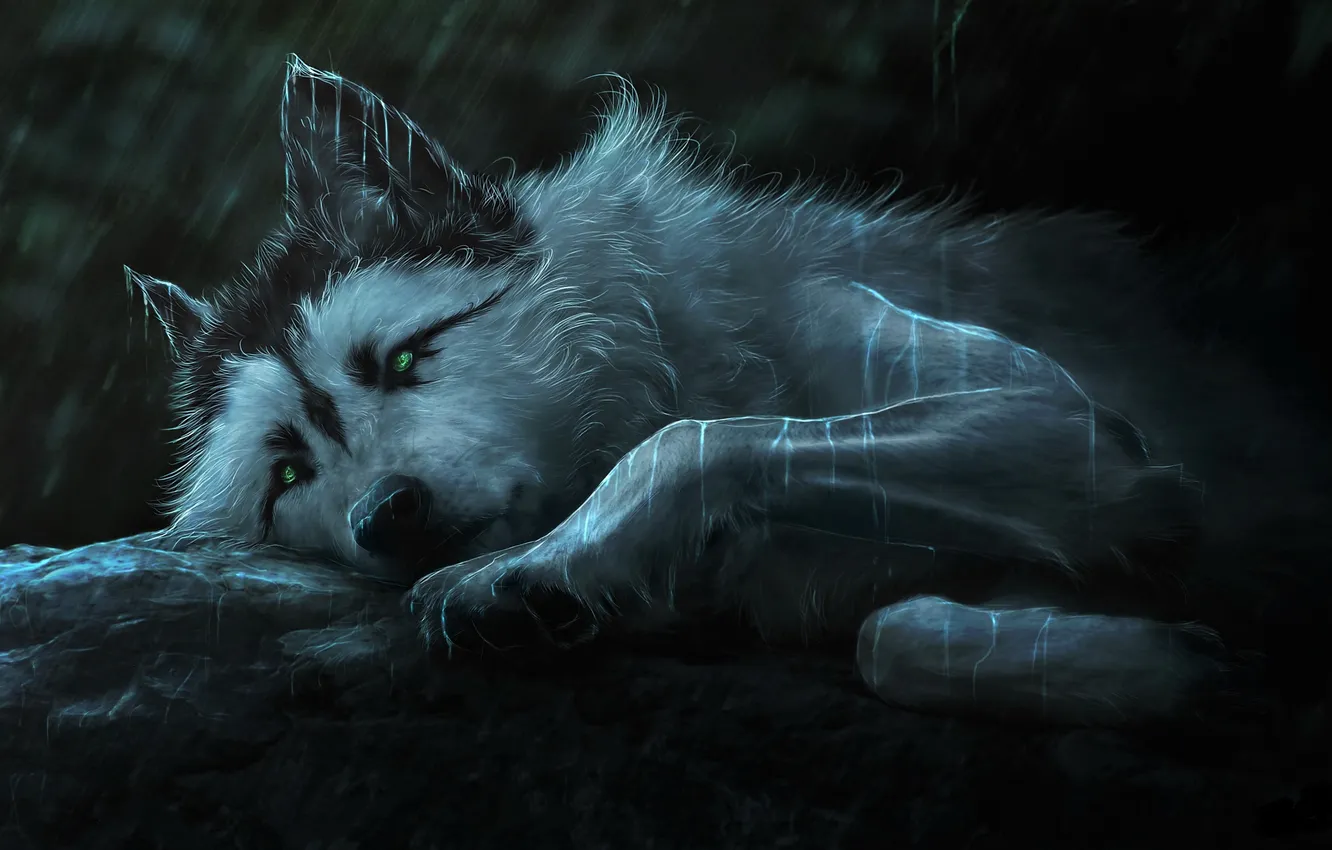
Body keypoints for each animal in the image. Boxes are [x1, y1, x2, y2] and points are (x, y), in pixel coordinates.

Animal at [129, 55, 1326, 728]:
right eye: (290, 475)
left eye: (405, 361)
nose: (389, 517)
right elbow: (891, 631)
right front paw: (1178, 670)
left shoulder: (1074, 434)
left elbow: (701, 443)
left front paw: (533, 568)